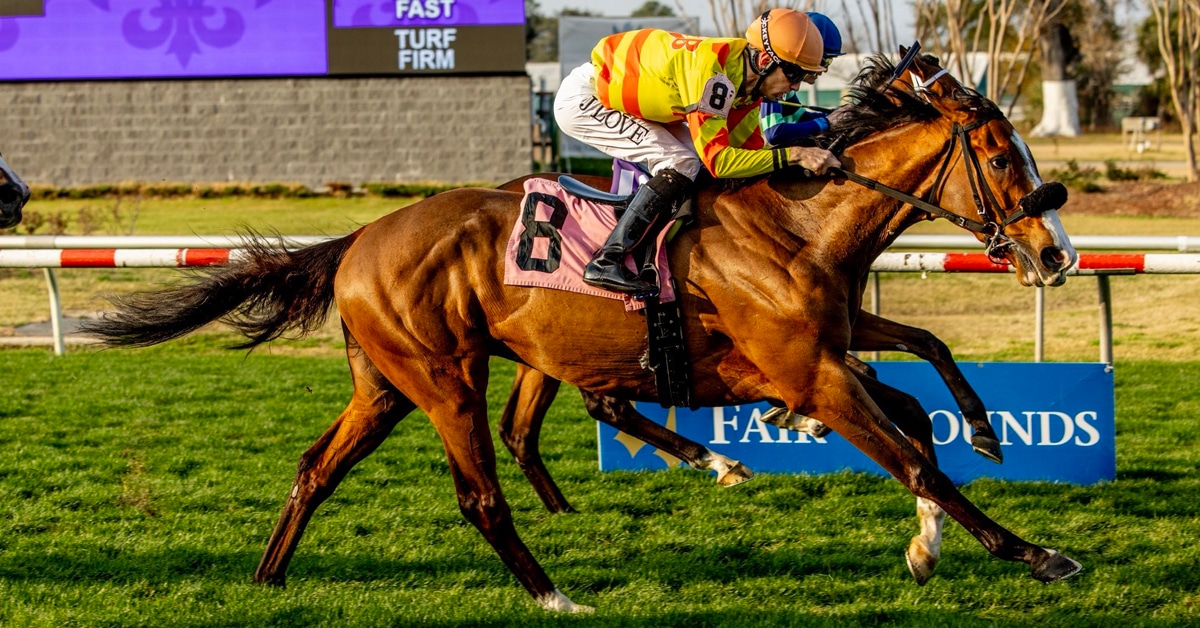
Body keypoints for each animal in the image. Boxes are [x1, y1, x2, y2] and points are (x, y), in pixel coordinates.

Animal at [81, 53, 1082, 612]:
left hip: (387, 385)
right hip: (446, 377)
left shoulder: (830, 349)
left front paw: (969, 463)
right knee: (481, 492)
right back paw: (554, 593)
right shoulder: (810, 376)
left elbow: (924, 376)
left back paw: (268, 579)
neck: (799, 223)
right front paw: (1033, 553)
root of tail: (361, 237)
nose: (1057, 252)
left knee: (316, 468)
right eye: (1001, 157)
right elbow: (915, 456)